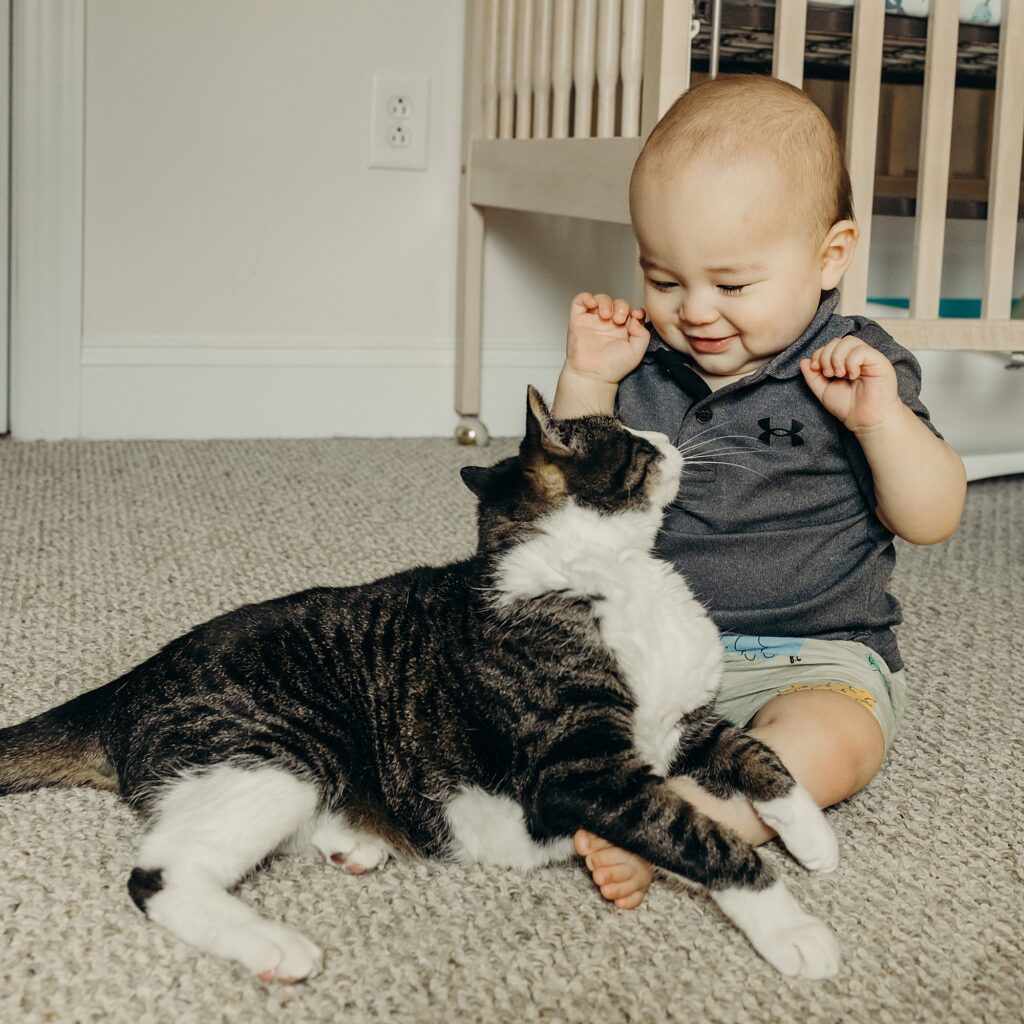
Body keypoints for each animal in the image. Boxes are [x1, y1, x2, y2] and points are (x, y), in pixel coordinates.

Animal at [0, 387, 839, 978]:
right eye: (629, 439)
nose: (665, 437)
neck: (610, 574)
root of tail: (123, 687)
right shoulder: (585, 767)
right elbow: (705, 838)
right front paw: (795, 930)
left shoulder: (683, 716)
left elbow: (756, 753)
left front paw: (813, 836)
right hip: (269, 757)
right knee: (160, 875)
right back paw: (276, 947)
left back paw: (355, 843)